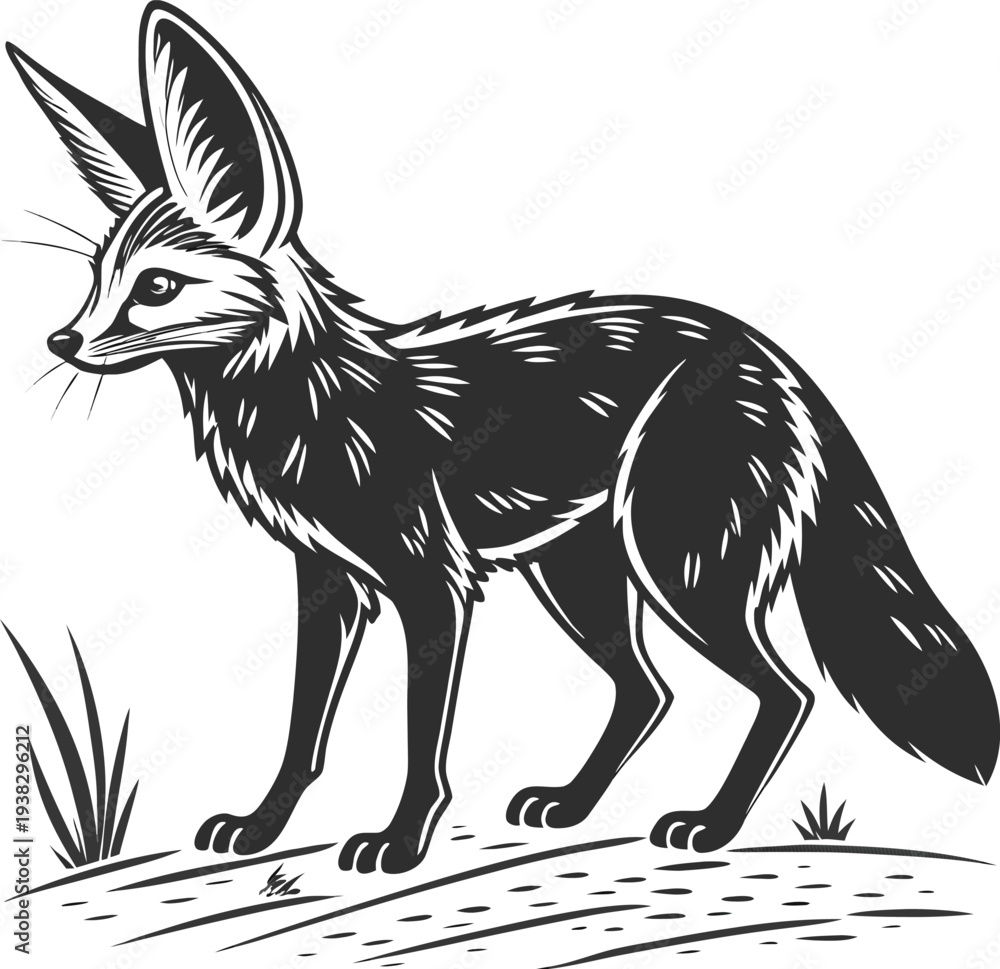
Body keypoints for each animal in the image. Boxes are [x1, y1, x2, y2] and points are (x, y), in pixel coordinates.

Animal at [8, 2, 999, 875]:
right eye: (96, 279)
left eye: (157, 288)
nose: (60, 342)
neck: (310, 410)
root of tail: (766, 350)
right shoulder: (327, 580)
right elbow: (302, 731)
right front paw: (262, 827)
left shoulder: (431, 583)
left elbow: (421, 742)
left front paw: (400, 842)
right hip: (583, 578)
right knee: (649, 689)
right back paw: (573, 804)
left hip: (679, 572)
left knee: (786, 692)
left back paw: (711, 825)